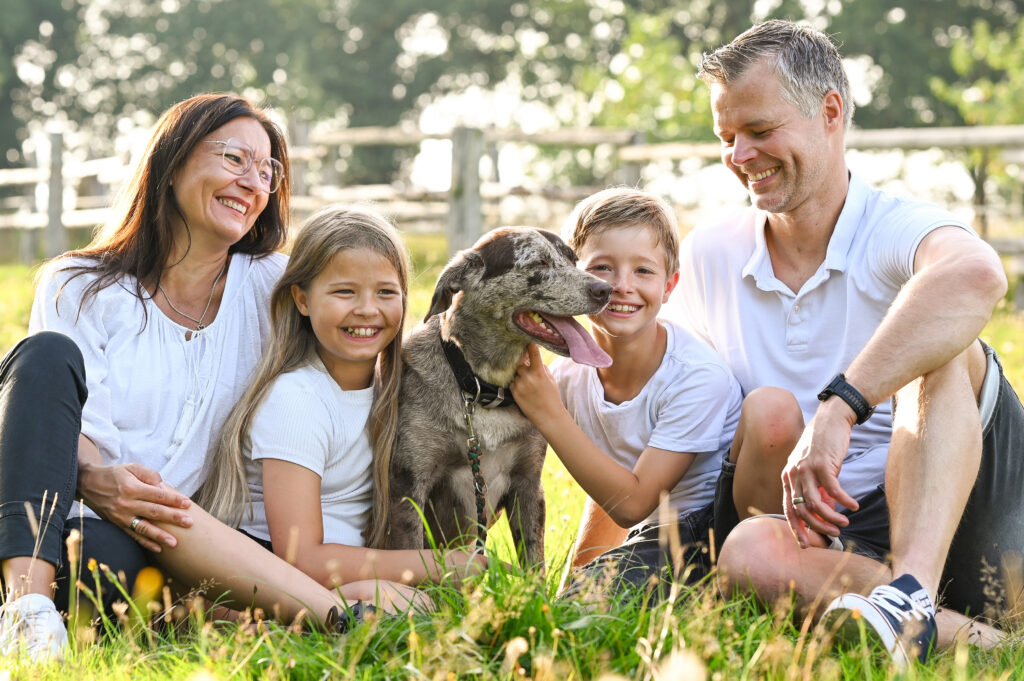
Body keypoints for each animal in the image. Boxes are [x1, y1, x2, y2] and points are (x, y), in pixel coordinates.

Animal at [387, 227, 610, 561]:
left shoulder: (528, 485)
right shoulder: (410, 488)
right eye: (539, 262)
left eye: (573, 259)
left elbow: (534, 563)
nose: (606, 289)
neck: (483, 388)